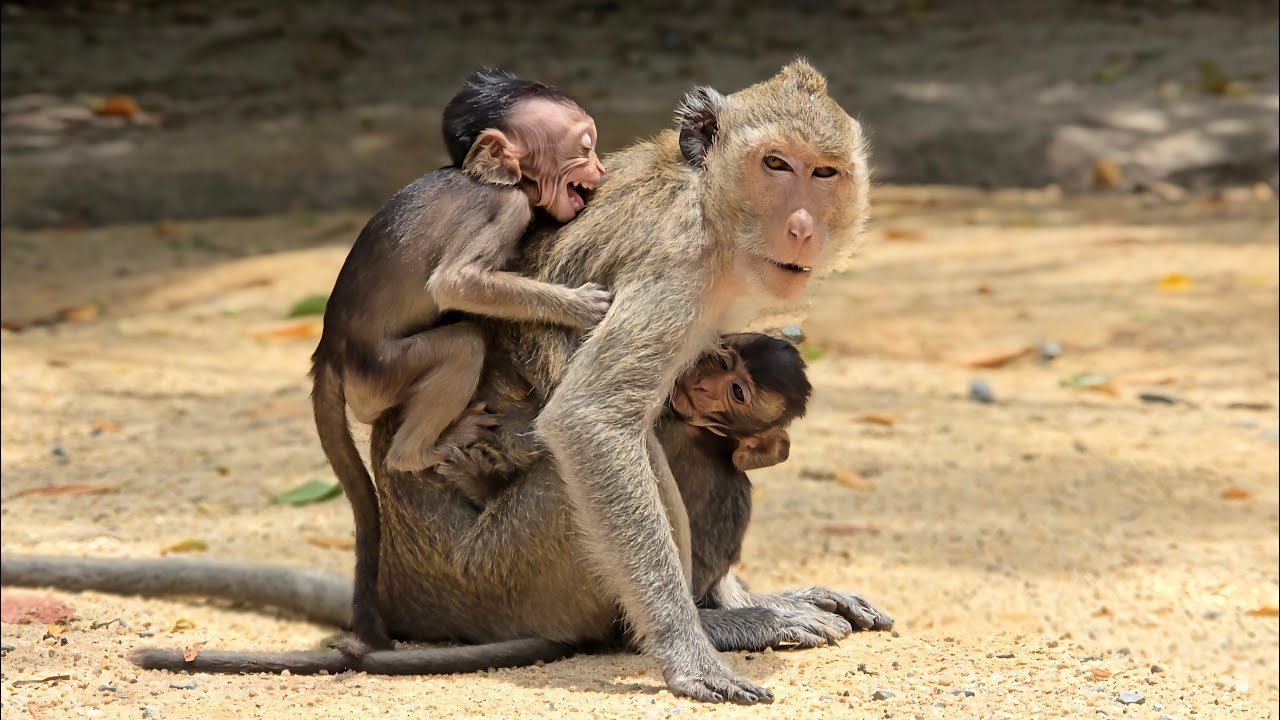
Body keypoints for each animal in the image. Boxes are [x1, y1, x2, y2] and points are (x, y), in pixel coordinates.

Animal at [310, 68, 608, 652]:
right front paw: (578, 306)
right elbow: (457, 283)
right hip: (379, 374)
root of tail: (329, 350)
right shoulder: (507, 209)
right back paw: (416, 453)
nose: (601, 168)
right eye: (584, 146)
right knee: (465, 341)